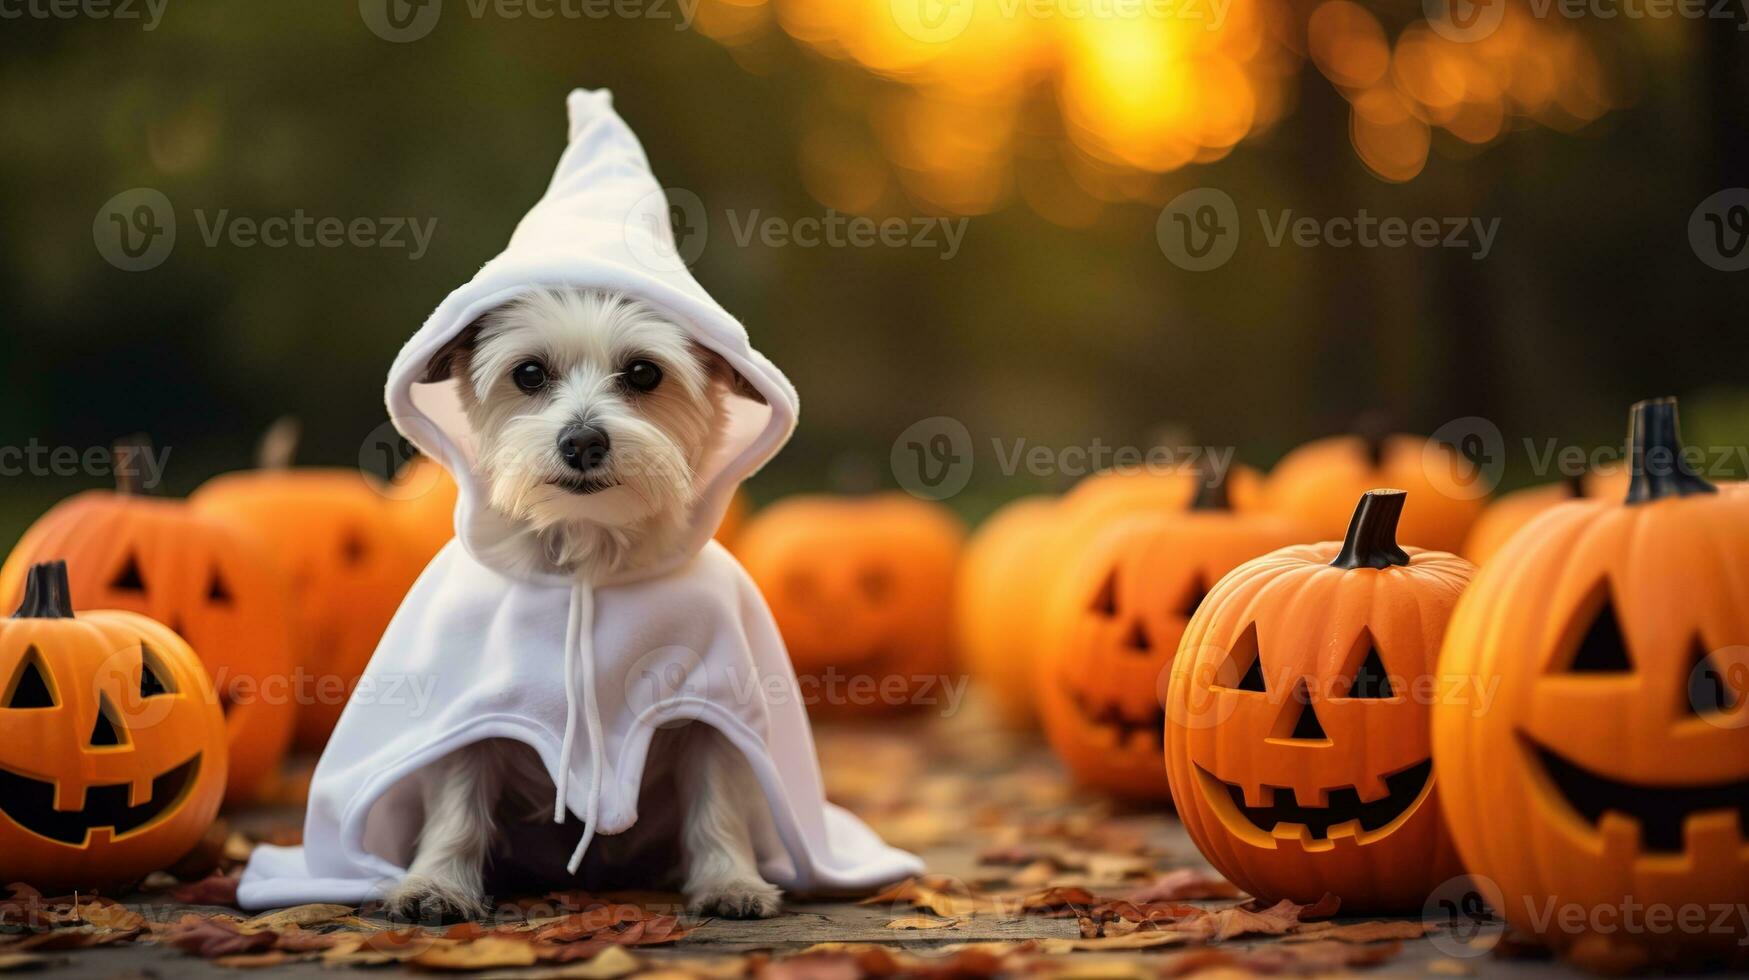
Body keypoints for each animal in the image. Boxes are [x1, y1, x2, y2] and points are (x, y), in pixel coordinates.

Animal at [397, 287, 787, 924]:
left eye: (644, 373)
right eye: (529, 373)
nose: (582, 441)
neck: (588, 558)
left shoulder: (712, 711)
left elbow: (717, 801)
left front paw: (732, 881)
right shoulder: (469, 716)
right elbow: (457, 803)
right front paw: (436, 884)